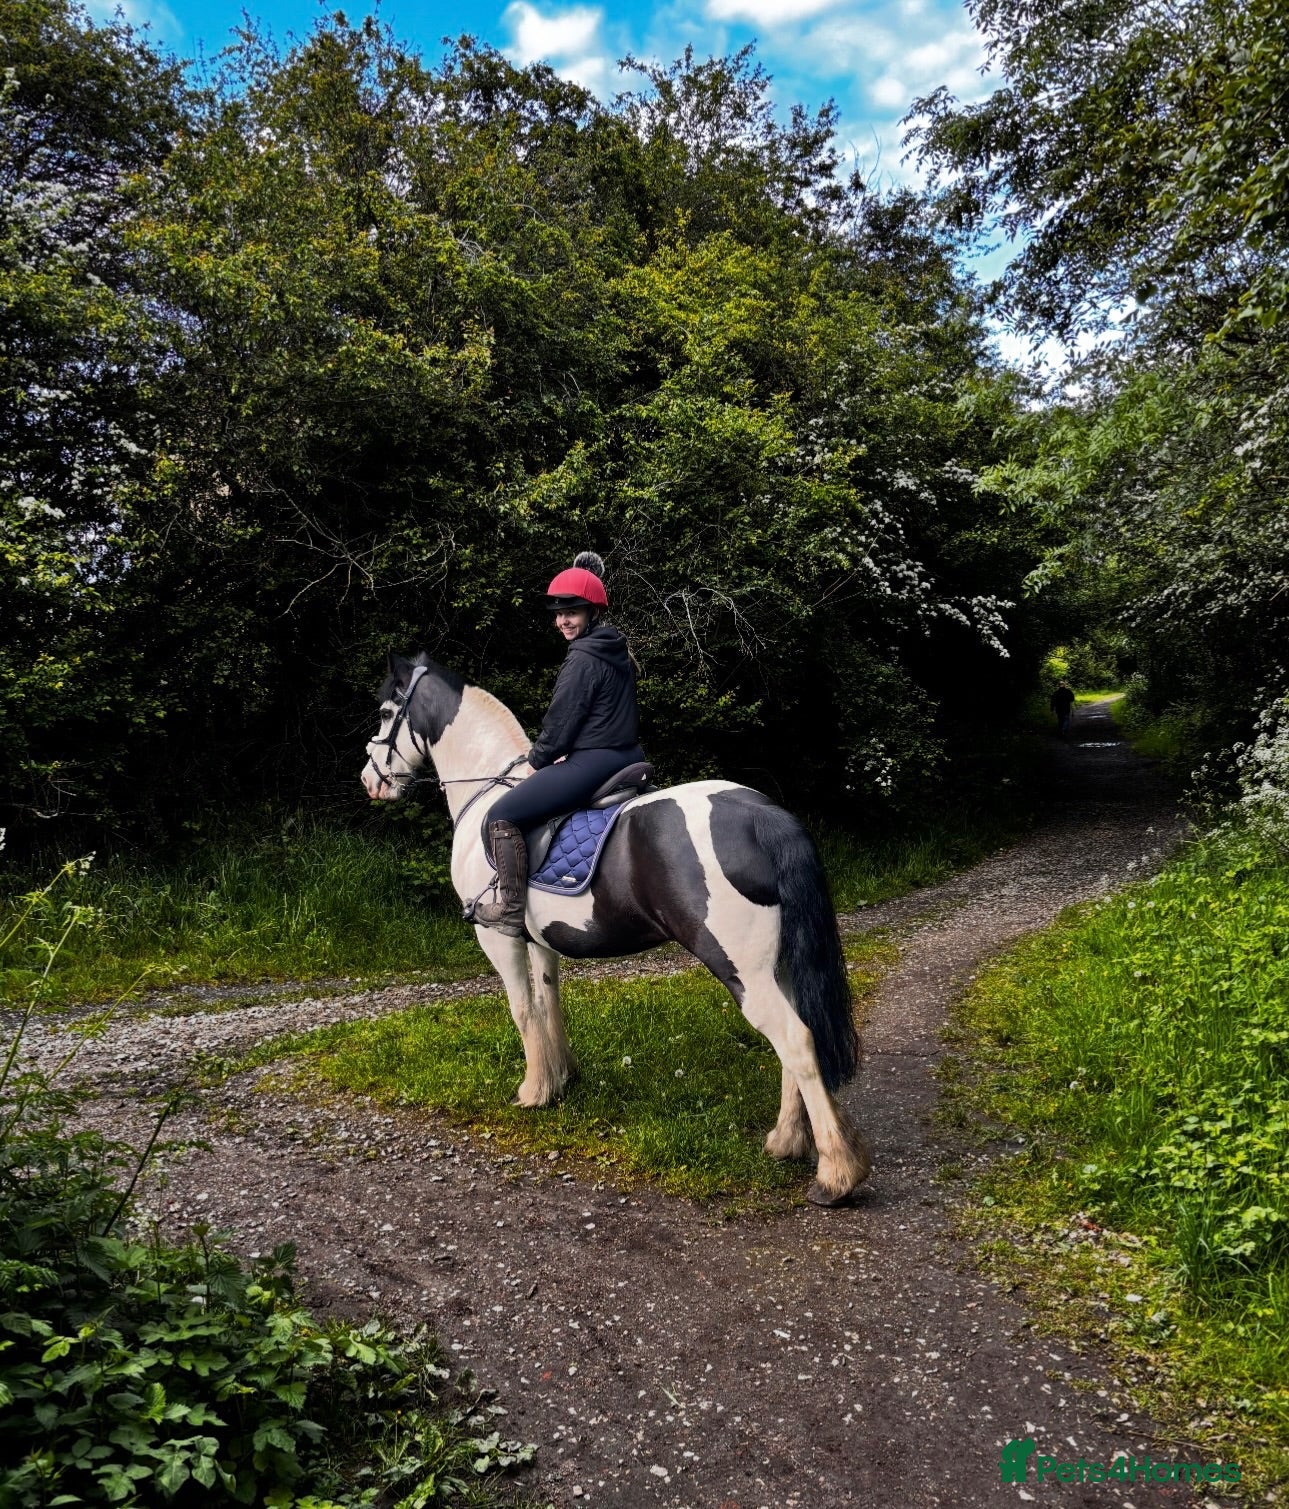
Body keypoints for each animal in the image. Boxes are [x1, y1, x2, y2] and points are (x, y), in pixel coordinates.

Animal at [360, 651, 871, 1205]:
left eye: (386, 712)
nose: (369, 780)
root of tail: (763, 815)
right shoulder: (539, 941)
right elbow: (549, 1001)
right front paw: (561, 1079)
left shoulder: (498, 938)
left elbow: (522, 1009)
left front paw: (533, 1092)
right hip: (773, 966)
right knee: (793, 1038)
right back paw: (786, 1140)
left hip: (740, 967)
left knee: (796, 1040)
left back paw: (836, 1173)